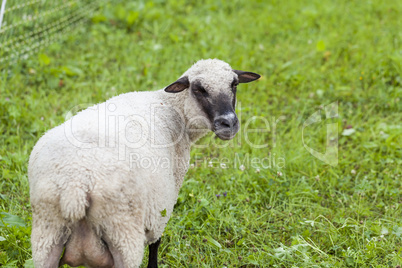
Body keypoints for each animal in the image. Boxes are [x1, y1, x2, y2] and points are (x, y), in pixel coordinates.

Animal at [28, 59, 260, 268]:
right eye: (199, 89)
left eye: (234, 84)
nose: (228, 123)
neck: (171, 107)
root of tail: (75, 186)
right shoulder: (162, 206)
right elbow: (156, 245)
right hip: (123, 232)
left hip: (46, 235)